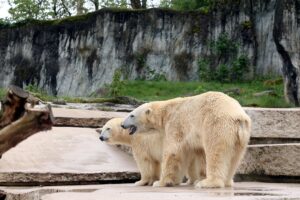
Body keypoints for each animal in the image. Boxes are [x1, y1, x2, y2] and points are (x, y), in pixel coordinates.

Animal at [121, 91, 251, 188]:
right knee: (235, 157)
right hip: (241, 137)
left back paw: (208, 183)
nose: (122, 124)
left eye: (131, 115)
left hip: (217, 124)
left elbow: (173, 151)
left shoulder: (175, 123)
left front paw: (160, 182)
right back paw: (227, 181)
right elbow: (197, 152)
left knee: (216, 152)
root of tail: (239, 117)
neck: (166, 111)